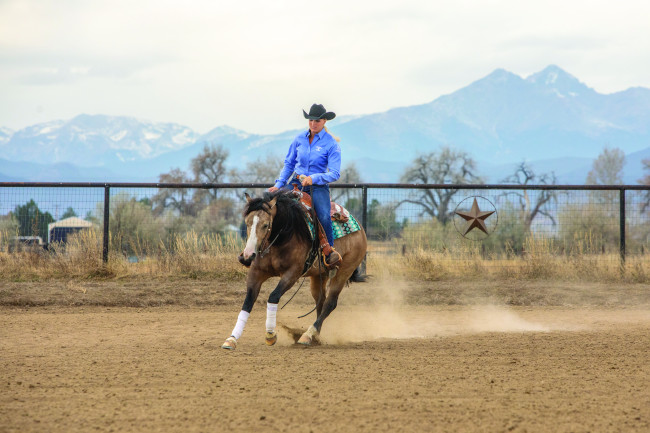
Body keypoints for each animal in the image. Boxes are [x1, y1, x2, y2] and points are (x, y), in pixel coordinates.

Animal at [221, 191, 364, 350]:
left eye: (265, 225)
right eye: (247, 223)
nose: (247, 256)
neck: (281, 239)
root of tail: (360, 229)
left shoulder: (292, 274)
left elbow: (273, 296)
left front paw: (270, 335)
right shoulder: (256, 272)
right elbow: (248, 302)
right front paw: (232, 338)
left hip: (343, 272)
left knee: (330, 303)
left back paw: (307, 335)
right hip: (319, 276)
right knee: (320, 301)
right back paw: (314, 336)